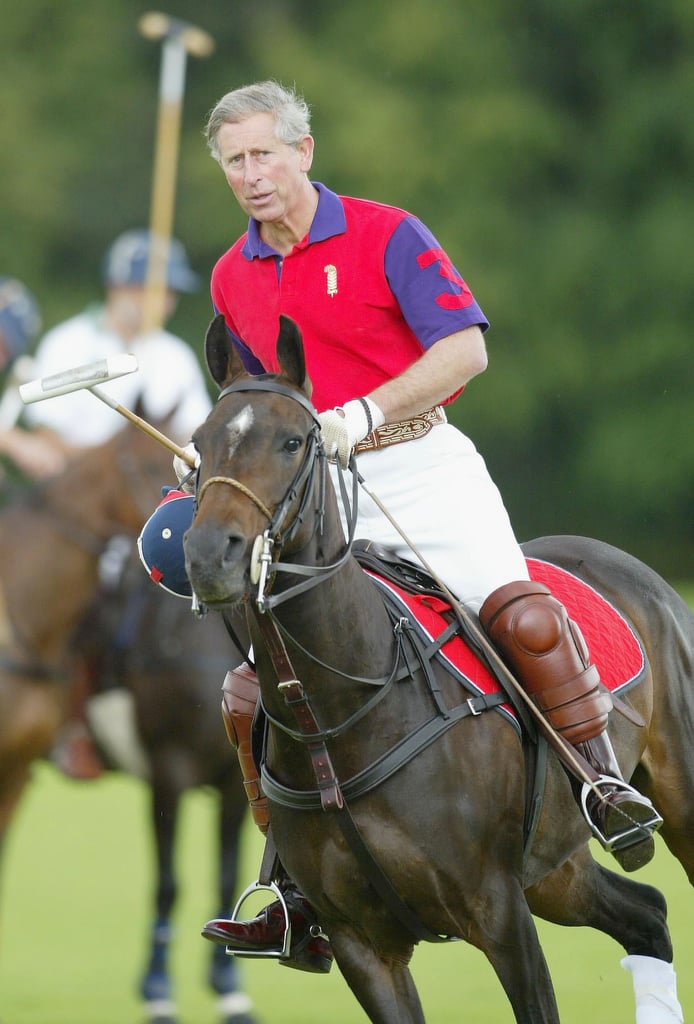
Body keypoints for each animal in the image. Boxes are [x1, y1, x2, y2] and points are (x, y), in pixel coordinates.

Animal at [0, 417, 257, 1024]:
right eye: (143, 466)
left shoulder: (234, 782)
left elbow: (225, 873)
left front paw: (228, 987)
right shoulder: (168, 770)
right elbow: (168, 883)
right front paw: (158, 989)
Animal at [183, 311, 694, 1024]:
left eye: (293, 441)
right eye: (199, 443)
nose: (209, 555)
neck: (342, 715)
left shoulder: (498, 909)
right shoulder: (361, 944)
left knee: (530, 619)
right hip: (554, 868)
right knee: (646, 914)